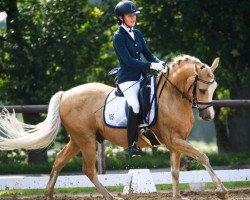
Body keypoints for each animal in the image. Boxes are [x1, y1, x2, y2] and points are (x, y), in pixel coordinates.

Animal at [0, 54, 229, 200]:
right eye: (202, 89)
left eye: (215, 87)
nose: (208, 116)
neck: (172, 97)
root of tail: (66, 94)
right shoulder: (174, 140)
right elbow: (202, 157)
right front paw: (221, 190)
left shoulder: (175, 142)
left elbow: (175, 171)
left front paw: (177, 197)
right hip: (86, 140)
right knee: (88, 169)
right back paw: (110, 197)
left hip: (78, 139)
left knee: (59, 160)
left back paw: (48, 194)